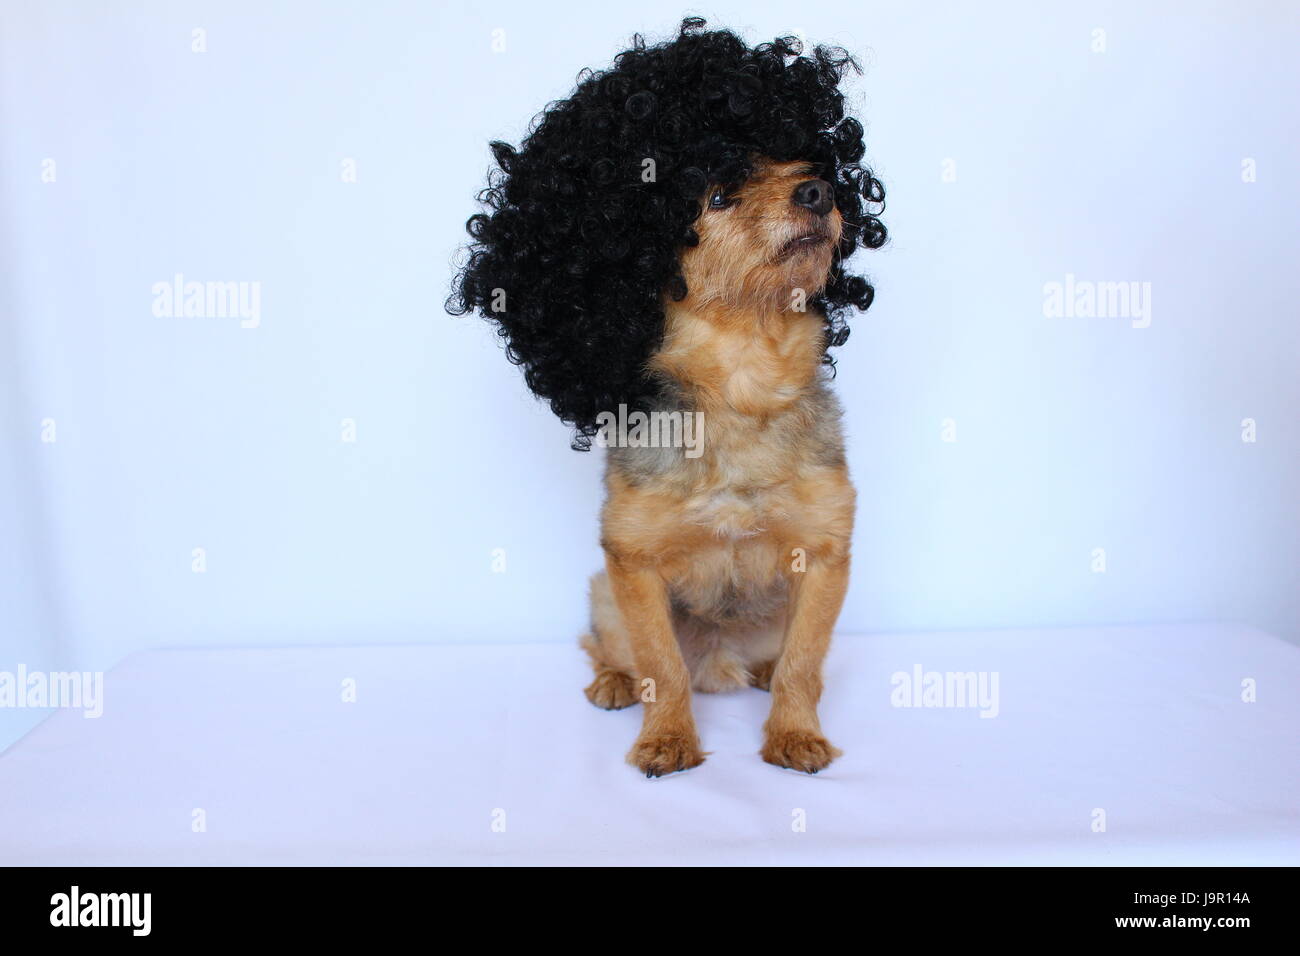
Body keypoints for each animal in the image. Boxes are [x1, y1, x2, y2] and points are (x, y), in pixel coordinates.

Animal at [447, 16, 883, 780]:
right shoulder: (634, 564)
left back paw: (758, 675)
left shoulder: (825, 555)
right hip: (602, 592)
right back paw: (614, 683)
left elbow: (805, 663)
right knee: (611, 647)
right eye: (717, 196)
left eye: (800, 164)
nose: (818, 192)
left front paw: (794, 735)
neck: (741, 385)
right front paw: (668, 739)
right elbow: (662, 664)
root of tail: (723, 666)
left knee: (779, 660)